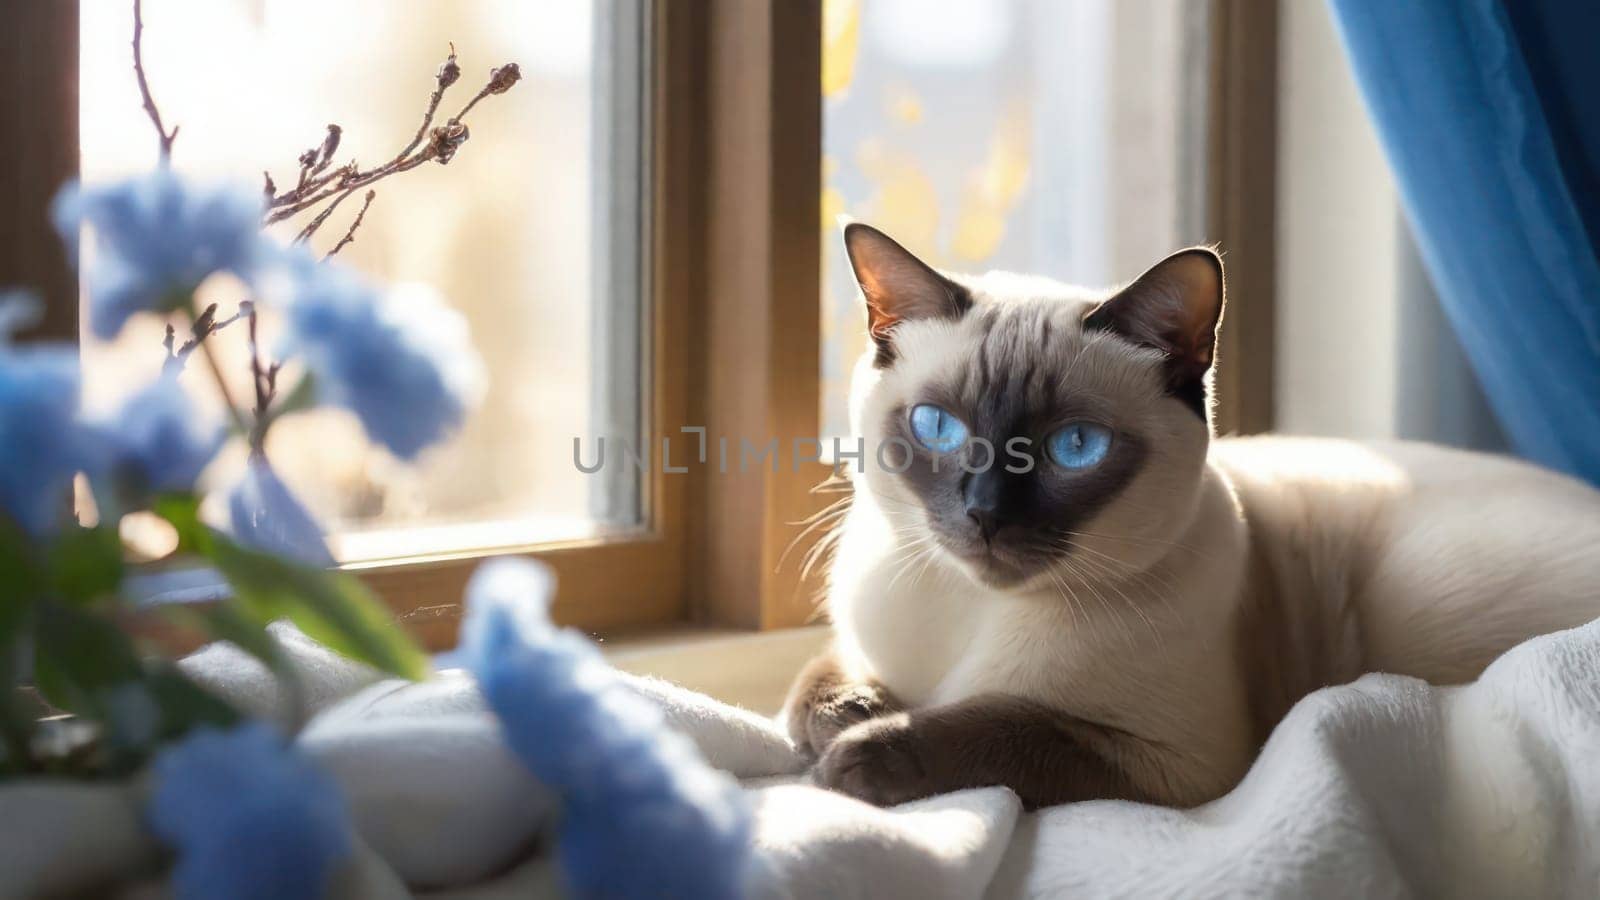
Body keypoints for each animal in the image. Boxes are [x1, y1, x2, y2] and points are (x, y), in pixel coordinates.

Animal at [784, 222, 1600, 807]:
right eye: (937, 427)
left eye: (1074, 446)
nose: (985, 515)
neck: (968, 610)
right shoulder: (862, 636)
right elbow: (820, 677)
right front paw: (849, 713)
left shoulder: (1170, 764)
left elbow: (998, 726)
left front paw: (858, 756)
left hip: (1420, 592)